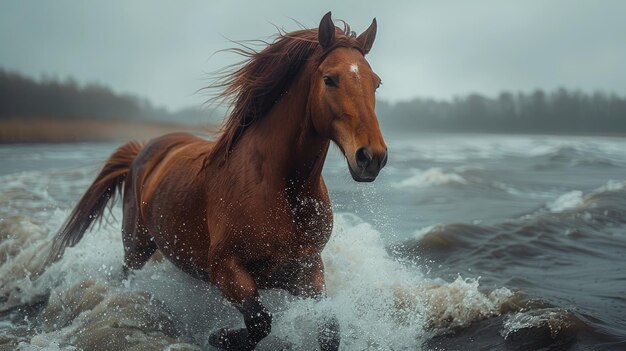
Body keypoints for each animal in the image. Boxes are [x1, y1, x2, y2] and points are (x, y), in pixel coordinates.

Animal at [46, 11, 386, 351]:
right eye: (330, 79)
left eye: (376, 82)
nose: (372, 157)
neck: (282, 190)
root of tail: (143, 150)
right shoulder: (225, 268)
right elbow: (260, 320)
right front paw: (219, 337)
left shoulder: (307, 269)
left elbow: (330, 329)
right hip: (135, 246)